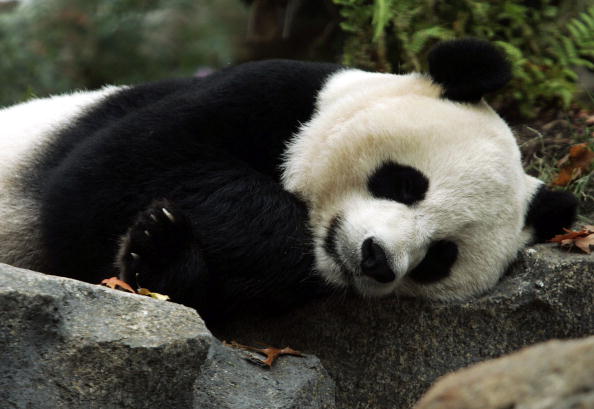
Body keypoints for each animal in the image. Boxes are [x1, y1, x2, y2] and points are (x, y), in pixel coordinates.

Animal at [0, 39, 572, 324]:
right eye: (405, 184)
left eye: (439, 258)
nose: (376, 259)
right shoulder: (268, 92)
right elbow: (108, 174)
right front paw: (160, 234)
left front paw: (157, 250)